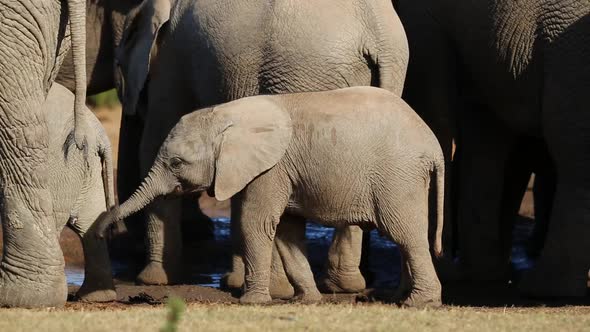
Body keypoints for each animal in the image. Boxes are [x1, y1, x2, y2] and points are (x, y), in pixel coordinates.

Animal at [97, 85, 446, 306]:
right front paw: (307, 301)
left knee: (405, 233)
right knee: (407, 236)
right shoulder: (275, 171)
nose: (103, 230)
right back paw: (400, 298)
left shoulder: (270, 169)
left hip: (397, 175)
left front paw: (251, 302)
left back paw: (419, 303)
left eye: (177, 163)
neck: (227, 115)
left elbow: (256, 223)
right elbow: (286, 232)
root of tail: (434, 145)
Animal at [117, 0, 410, 292]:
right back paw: (341, 286)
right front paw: (233, 281)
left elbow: (155, 140)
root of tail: (380, 35)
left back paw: (285, 288)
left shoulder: (172, 59)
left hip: (300, 73)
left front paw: (153, 280)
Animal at [398, 0, 590, 298]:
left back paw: (544, 287)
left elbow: (434, 111)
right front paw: (483, 274)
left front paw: (448, 273)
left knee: (569, 142)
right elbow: (485, 126)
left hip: (572, 49)